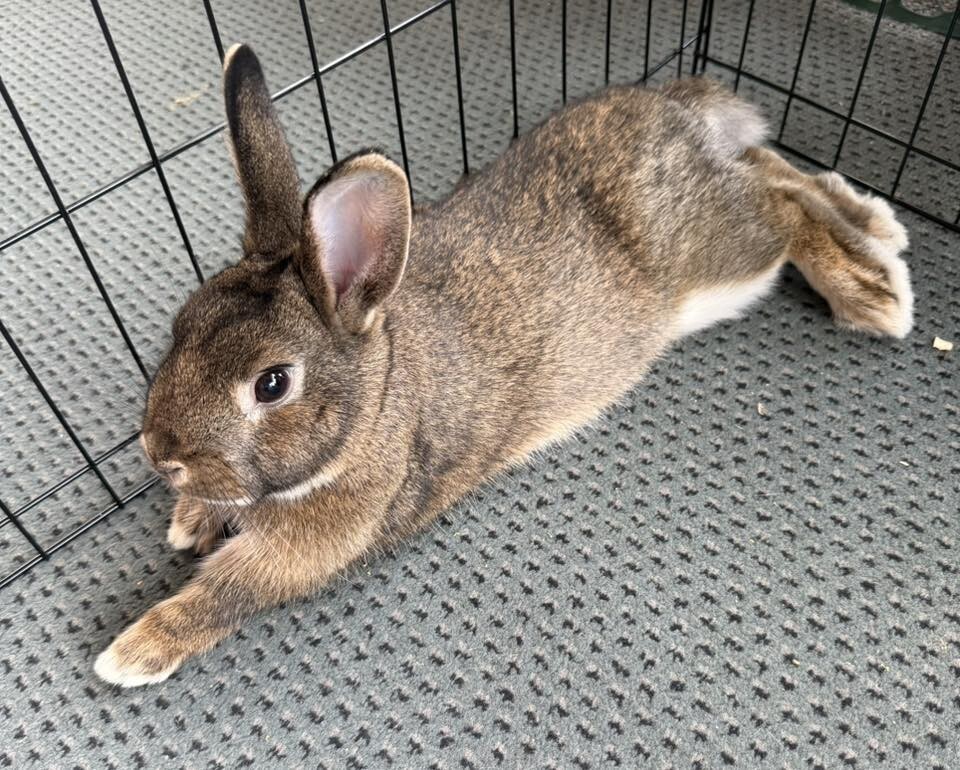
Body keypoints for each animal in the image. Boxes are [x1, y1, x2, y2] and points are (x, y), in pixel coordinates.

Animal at [94, 44, 912, 686]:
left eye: (272, 384)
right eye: (180, 327)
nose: (160, 454)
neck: (375, 403)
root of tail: (676, 112)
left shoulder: (320, 542)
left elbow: (231, 591)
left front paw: (132, 652)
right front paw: (190, 520)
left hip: (726, 258)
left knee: (780, 202)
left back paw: (874, 287)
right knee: (768, 166)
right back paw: (877, 223)